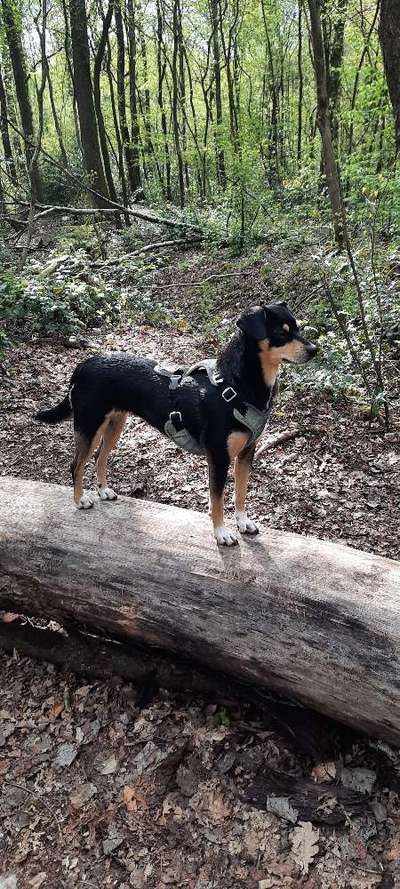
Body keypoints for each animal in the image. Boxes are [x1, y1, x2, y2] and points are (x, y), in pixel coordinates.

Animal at [34, 302, 318, 544]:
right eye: (281, 333)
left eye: (298, 328)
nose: (315, 350)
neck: (238, 385)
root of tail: (83, 365)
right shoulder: (218, 457)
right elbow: (217, 500)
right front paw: (221, 533)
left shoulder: (246, 453)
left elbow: (240, 492)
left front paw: (243, 522)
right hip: (89, 424)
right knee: (76, 464)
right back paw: (80, 500)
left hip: (115, 423)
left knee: (99, 457)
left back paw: (103, 490)